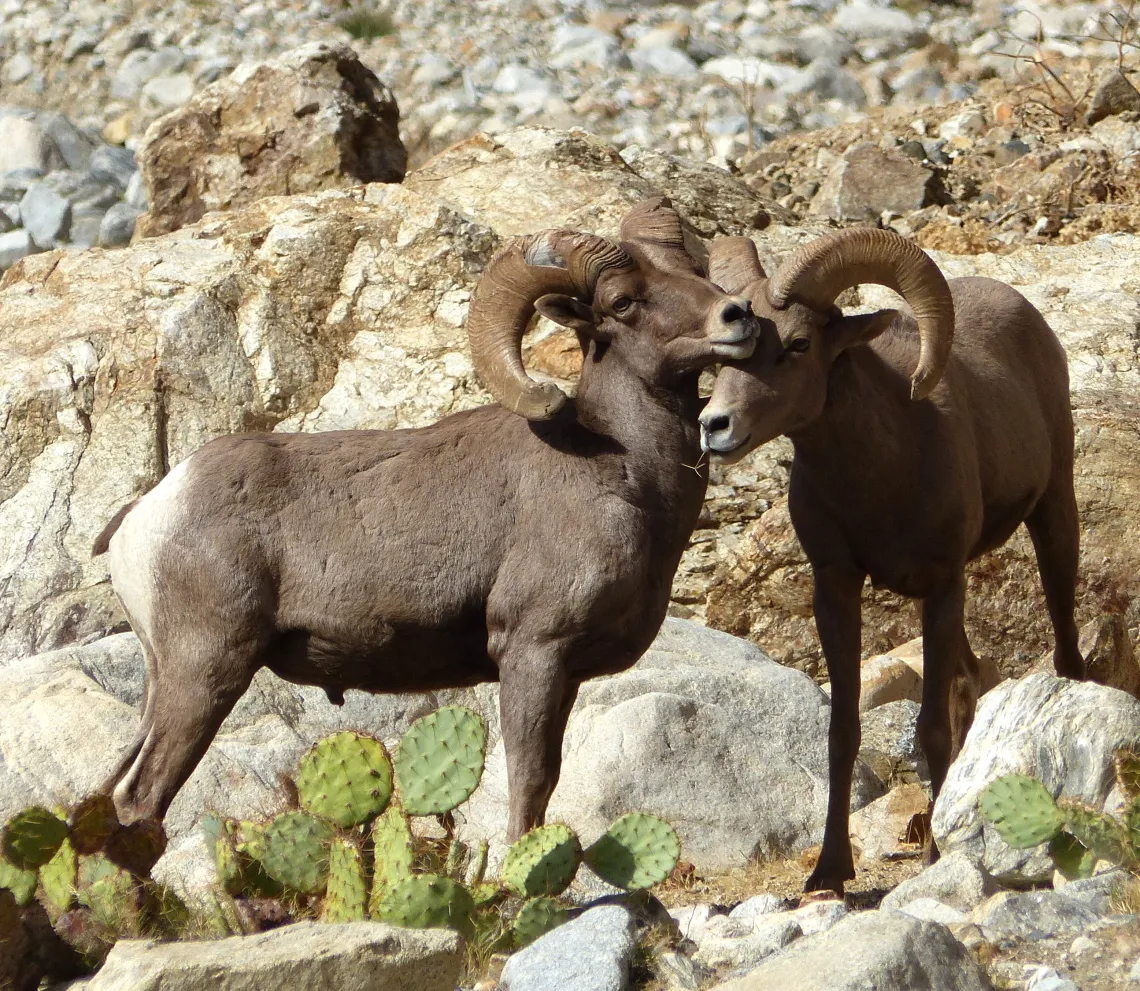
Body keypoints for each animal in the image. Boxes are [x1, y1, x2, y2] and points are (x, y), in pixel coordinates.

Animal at [91, 197, 758, 847]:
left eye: (693, 272)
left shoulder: (563, 672)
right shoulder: (534, 651)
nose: (737, 316)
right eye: (622, 301)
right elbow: (529, 782)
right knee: (141, 797)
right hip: (206, 672)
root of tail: (145, 515)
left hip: (166, 682)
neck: (624, 471)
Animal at [697, 228, 1085, 897]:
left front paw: (933, 858)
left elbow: (930, 726)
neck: (881, 477)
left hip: (1053, 518)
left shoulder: (943, 586)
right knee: (972, 680)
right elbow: (843, 731)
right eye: (724, 354)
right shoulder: (836, 588)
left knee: (1064, 651)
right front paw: (829, 873)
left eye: (798, 344)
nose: (714, 427)